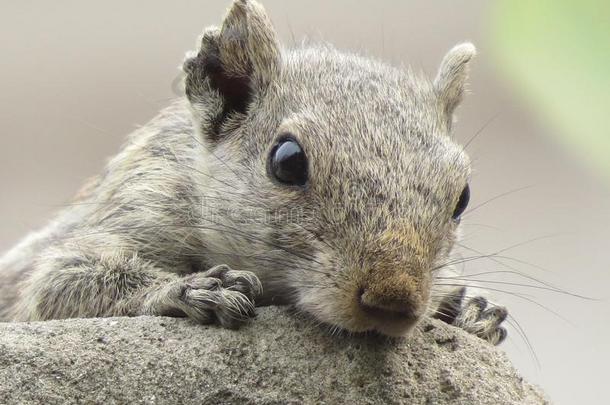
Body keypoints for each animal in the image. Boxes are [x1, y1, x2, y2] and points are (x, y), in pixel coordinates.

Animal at [0, 0, 506, 344]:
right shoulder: (142, 202)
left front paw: (471, 308)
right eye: (287, 162)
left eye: (463, 195)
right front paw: (197, 289)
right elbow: (60, 283)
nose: (393, 300)